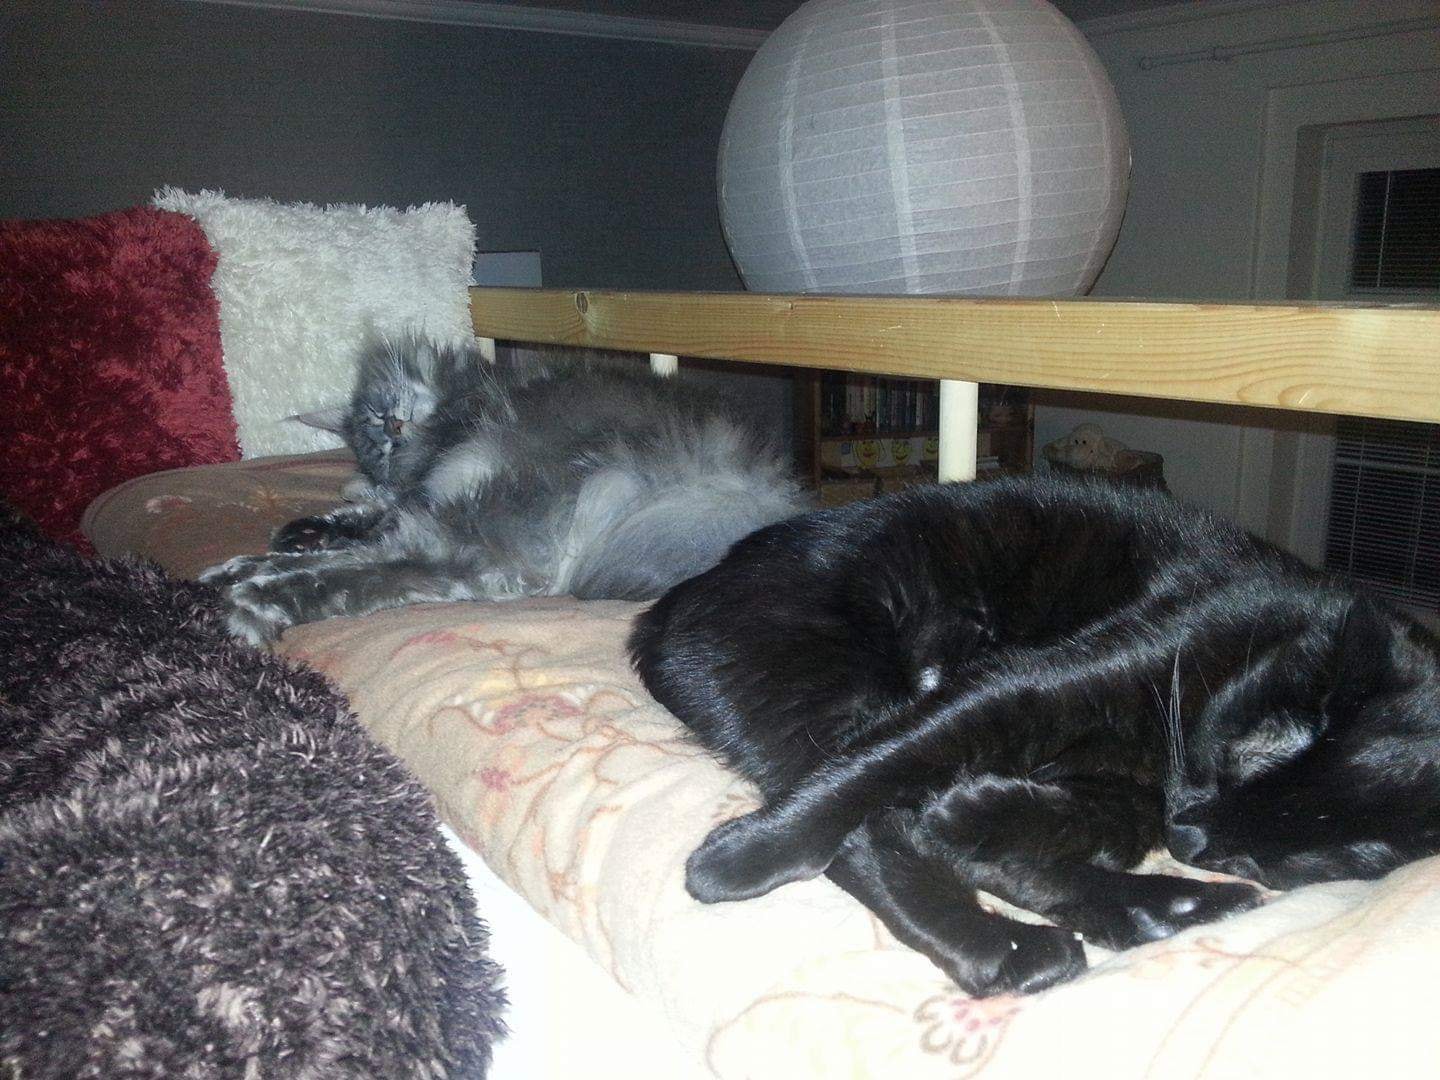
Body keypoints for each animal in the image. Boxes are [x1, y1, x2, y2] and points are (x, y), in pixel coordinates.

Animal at [201, 336, 807, 645]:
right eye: (375, 436)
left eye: (378, 412)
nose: (393, 427)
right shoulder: (423, 493)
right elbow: (363, 516)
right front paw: (297, 534)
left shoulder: (441, 491)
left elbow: (368, 529)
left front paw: (288, 550)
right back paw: (236, 576)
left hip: (500, 518)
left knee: (386, 569)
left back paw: (253, 597)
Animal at [628, 474, 1440, 997]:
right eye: (1254, 752)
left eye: (1280, 860)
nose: (1193, 842)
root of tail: (671, 601)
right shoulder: (1037, 684)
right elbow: (893, 766)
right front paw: (743, 856)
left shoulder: (1128, 784)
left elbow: (1081, 826)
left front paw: (977, 812)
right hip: (822, 685)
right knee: (862, 817)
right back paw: (1008, 948)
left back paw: (1160, 909)